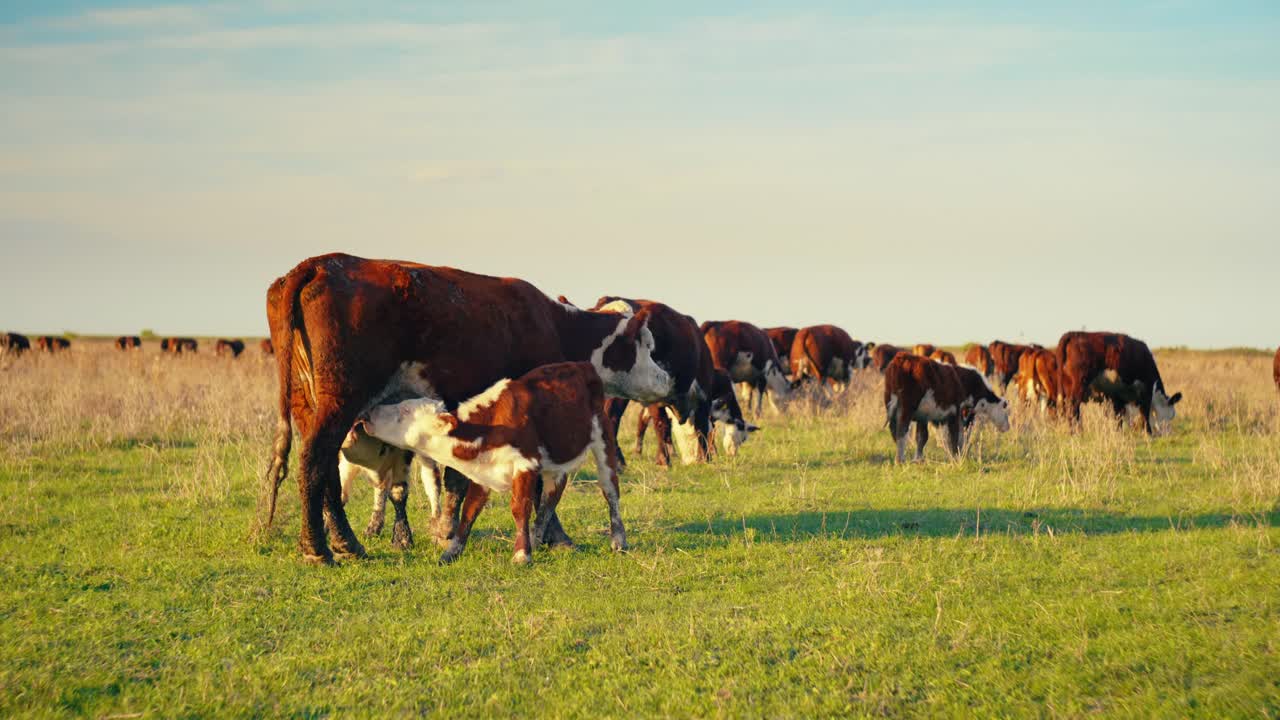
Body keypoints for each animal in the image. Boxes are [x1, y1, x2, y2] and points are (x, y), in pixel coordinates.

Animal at [354, 362, 624, 565]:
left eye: (405, 412)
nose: (369, 413)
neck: (487, 427)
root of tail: (582, 365)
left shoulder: (525, 464)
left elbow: (520, 507)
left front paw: (521, 554)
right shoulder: (481, 472)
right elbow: (469, 512)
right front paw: (451, 552)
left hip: (604, 439)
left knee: (610, 490)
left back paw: (618, 540)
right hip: (556, 459)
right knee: (552, 494)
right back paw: (537, 538)